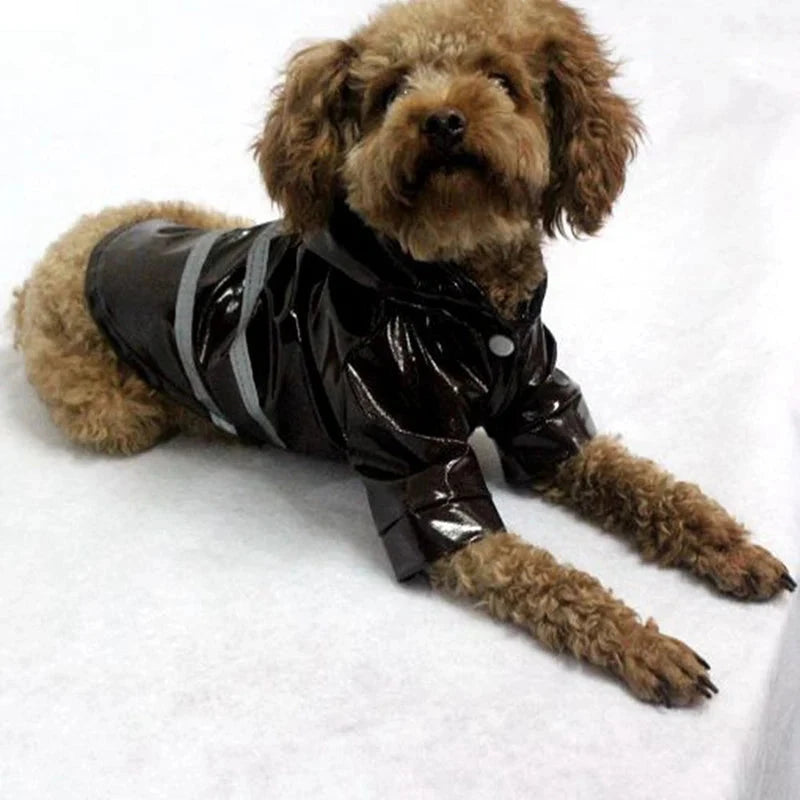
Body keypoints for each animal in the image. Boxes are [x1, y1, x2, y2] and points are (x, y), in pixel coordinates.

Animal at [10, 0, 792, 708]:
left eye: (502, 79)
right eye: (390, 91)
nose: (442, 120)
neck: (458, 302)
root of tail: (56, 259)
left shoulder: (542, 415)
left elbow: (650, 484)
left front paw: (728, 547)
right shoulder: (424, 481)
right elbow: (549, 579)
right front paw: (642, 644)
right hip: (113, 414)